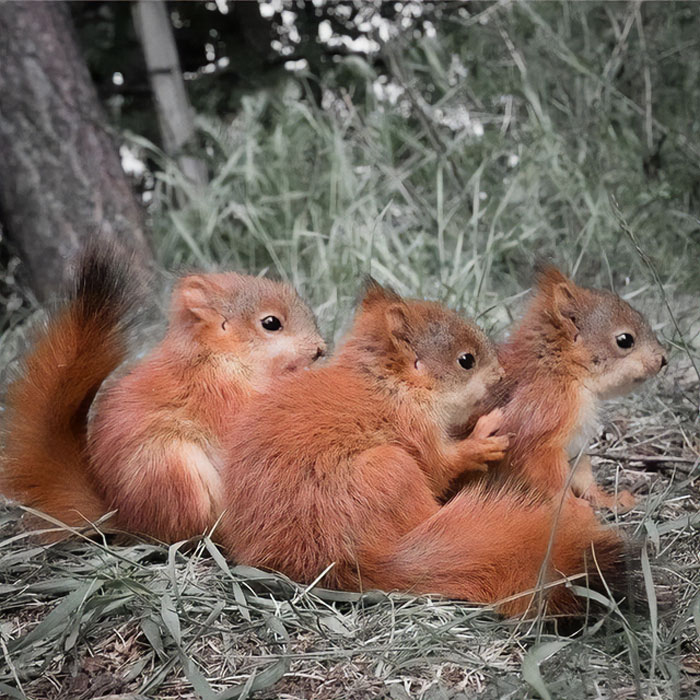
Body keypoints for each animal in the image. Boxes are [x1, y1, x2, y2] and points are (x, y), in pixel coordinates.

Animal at [1, 243, 326, 540]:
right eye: (271, 323)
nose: (320, 349)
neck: (217, 354)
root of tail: (129, 518)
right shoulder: (215, 390)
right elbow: (247, 413)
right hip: (175, 469)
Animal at [219, 280, 624, 616]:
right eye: (466, 361)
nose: (501, 376)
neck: (390, 385)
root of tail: (333, 559)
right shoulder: (413, 427)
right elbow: (439, 466)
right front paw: (481, 439)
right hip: (392, 470)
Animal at [462, 266, 668, 512]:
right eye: (625, 340)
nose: (664, 360)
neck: (563, 372)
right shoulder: (545, 418)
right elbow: (553, 481)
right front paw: (574, 507)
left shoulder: (576, 443)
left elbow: (583, 476)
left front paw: (610, 499)